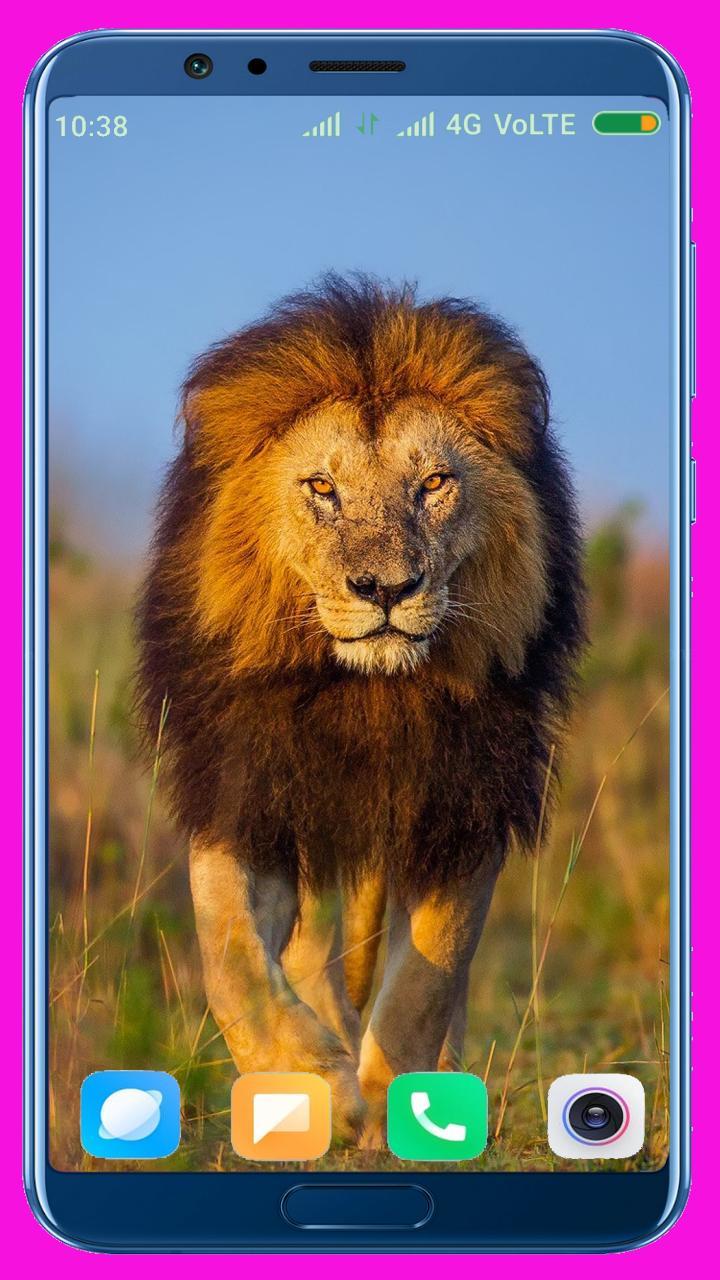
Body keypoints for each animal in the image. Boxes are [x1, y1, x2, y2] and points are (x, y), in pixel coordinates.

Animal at [136, 274, 585, 1145]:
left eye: (434, 484)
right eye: (322, 487)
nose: (385, 589)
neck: (367, 695)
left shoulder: (462, 804)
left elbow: (426, 980)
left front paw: (390, 1108)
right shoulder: (246, 794)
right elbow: (231, 959)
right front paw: (313, 1082)